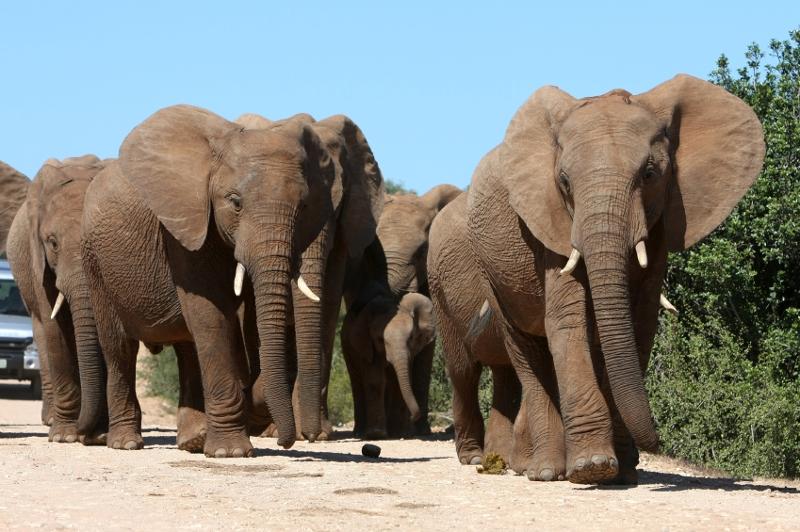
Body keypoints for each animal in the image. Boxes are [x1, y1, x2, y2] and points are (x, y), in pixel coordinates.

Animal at [6, 156, 109, 443]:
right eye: (53, 243)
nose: (86, 433)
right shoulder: (37, 260)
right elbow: (55, 330)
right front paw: (64, 436)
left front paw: (99, 435)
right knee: (42, 333)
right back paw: (52, 420)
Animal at [79, 105, 382, 455]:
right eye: (235, 202)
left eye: (303, 206)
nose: (288, 440)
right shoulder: (188, 222)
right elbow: (211, 312)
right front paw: (232, 452)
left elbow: (249, 319)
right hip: (95, 261)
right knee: (119, 346)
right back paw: (126, 443)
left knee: (187, 348)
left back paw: (194, 440)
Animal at [341, 285, 435, 438]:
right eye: (380, 339)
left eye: (411, 337)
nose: (412, 417)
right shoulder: (367, 344)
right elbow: (375, 380)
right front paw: (377, 434)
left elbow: (399, 381)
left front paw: (398, 433)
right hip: (347, 346)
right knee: (356, 382)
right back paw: (360, 433)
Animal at [448, 74, 764, 484]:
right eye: (564, 181)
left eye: (649, 175)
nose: (659, 441)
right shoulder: (550, 224)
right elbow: (568, 321)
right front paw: (592, 469)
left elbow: (640, 325)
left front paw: (622, 471)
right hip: (490, 271)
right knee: (526, 353)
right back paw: (547, 471)